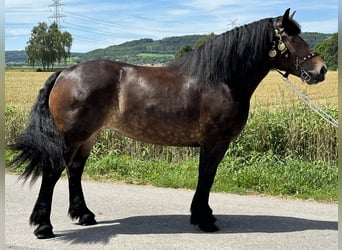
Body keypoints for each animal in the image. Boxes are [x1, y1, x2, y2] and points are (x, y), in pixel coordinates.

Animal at [9, 8, 328, 238]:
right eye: (292, 38)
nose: (321, 69)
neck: (220, 79)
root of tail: (65, 72)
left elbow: (205, 177)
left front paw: (202, 215)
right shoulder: (214, 143)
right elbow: (206, 177)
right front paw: (204, 219)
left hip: (88, 137)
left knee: (74, 171)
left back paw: (84, 215)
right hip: (71, 136)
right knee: (53, 172)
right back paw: (43, 227)